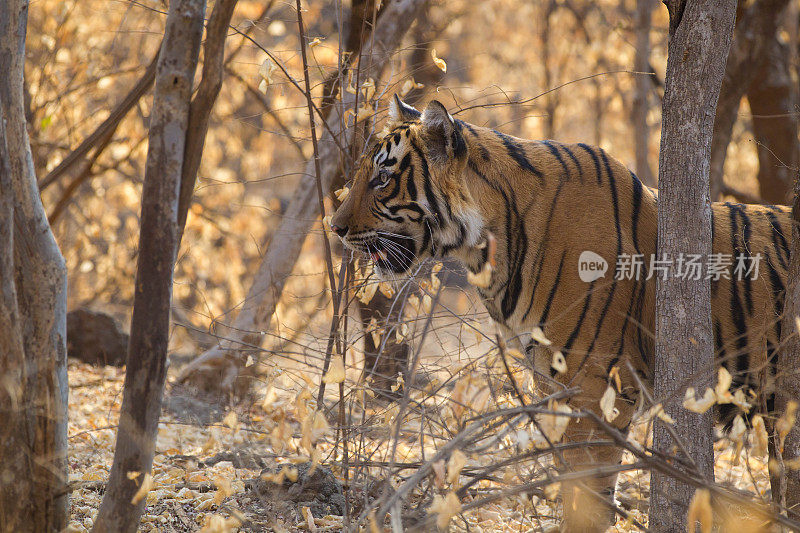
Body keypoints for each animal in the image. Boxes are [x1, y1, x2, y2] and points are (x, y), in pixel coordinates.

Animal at [328, 94, 792, 528]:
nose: (335, 227)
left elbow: (588, 490)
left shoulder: (594, 387)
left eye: (383, 178)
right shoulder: (553, 383)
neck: (489, 248)